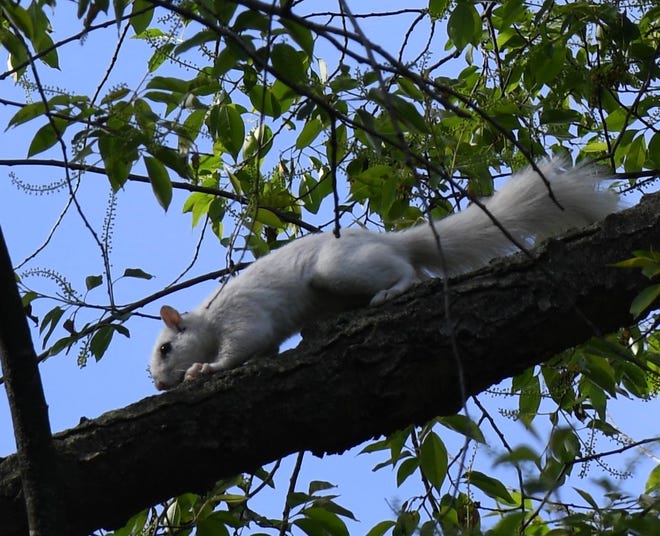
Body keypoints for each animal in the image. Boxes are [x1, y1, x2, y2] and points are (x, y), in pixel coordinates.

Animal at [150, 158, 620, 390]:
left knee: (407, 271)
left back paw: (391, 292)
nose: (158, 385)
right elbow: (263, 348)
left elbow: (242, 346)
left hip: (338, 269)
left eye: (166, 350)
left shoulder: (242, 316)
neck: (209, 319)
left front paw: (205, 369)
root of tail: (390, 241)